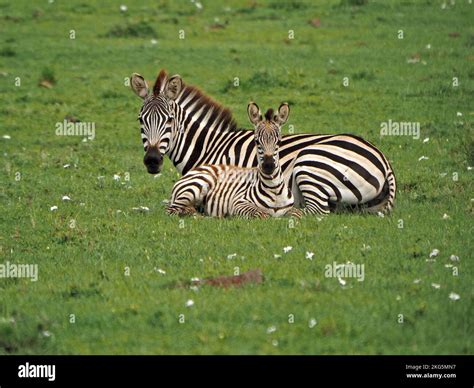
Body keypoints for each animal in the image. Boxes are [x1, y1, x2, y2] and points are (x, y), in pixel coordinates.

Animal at [166, 102, 300, 218]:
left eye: (279, 141)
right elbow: (262, 214)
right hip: (195, 186)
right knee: (171, 210)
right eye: (256, 141)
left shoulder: (291, 208)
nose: (268, 166)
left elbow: (298, 213)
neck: (274, 189)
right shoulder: (238, 203)